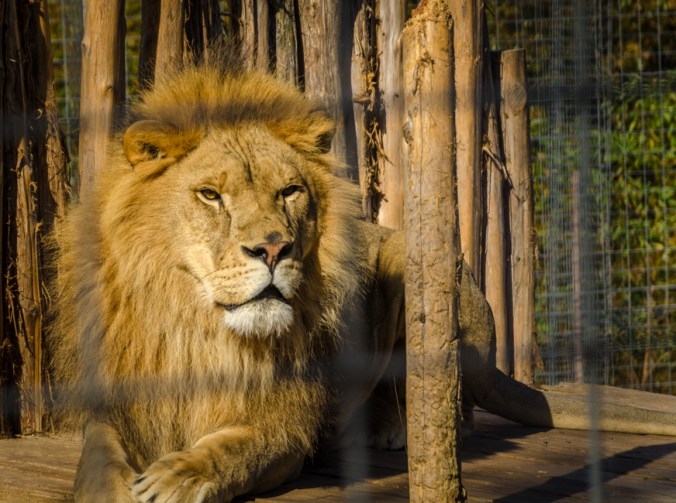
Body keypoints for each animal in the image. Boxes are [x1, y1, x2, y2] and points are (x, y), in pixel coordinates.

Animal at [49, 57, 676, 503]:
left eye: (289, 192)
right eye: (210, 195)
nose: (272, 248)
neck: (198, 324)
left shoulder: (285, 428)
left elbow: (239, 450)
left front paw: (179, 477)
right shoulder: (116, 401)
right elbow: (95, 459)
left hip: (409, 261)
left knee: (454, 411)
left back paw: (386, 427)